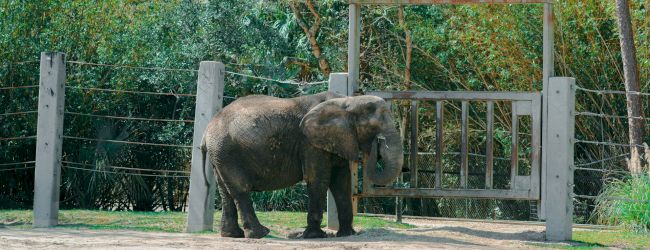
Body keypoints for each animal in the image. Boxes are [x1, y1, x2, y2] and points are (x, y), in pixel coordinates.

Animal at [200, 91, 402, 238]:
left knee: (226, 191)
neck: (347, 101)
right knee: (240, 189)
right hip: (227, 152)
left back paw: (232, 235)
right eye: (372, 128)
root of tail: (206, 130)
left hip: (220, 156)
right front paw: (315, 236)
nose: (376, 145)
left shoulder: (336, 140)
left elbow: (341, 181)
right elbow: (319, 179)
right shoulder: (310, 143)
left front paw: (347, 234)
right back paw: (260, 234)